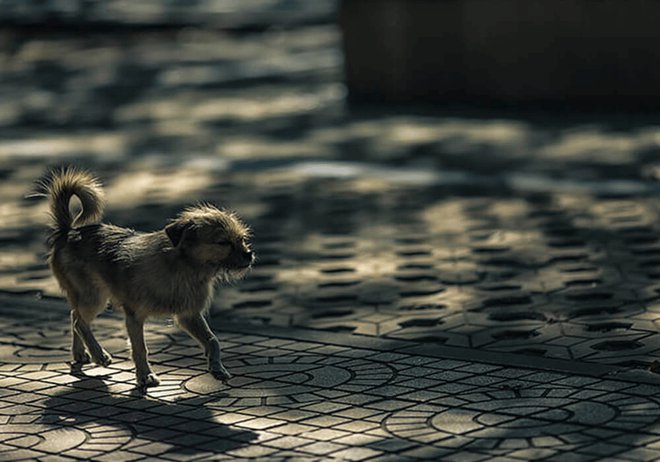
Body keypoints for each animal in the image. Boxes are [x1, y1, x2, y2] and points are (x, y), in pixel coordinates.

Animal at [40, 168, 254, 388]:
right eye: (223, 242)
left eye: (242, 239)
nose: (249, 254)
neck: (184, 269)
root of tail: (68, 231)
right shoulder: (134, 317)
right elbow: (140, 349)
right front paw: (145, 376)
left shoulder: (189, 315)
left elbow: (213, 340)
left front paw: (217, 367)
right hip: (94, 297)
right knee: (79, 322)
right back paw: (99, 354)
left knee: (75, 315)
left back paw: (81, 353)